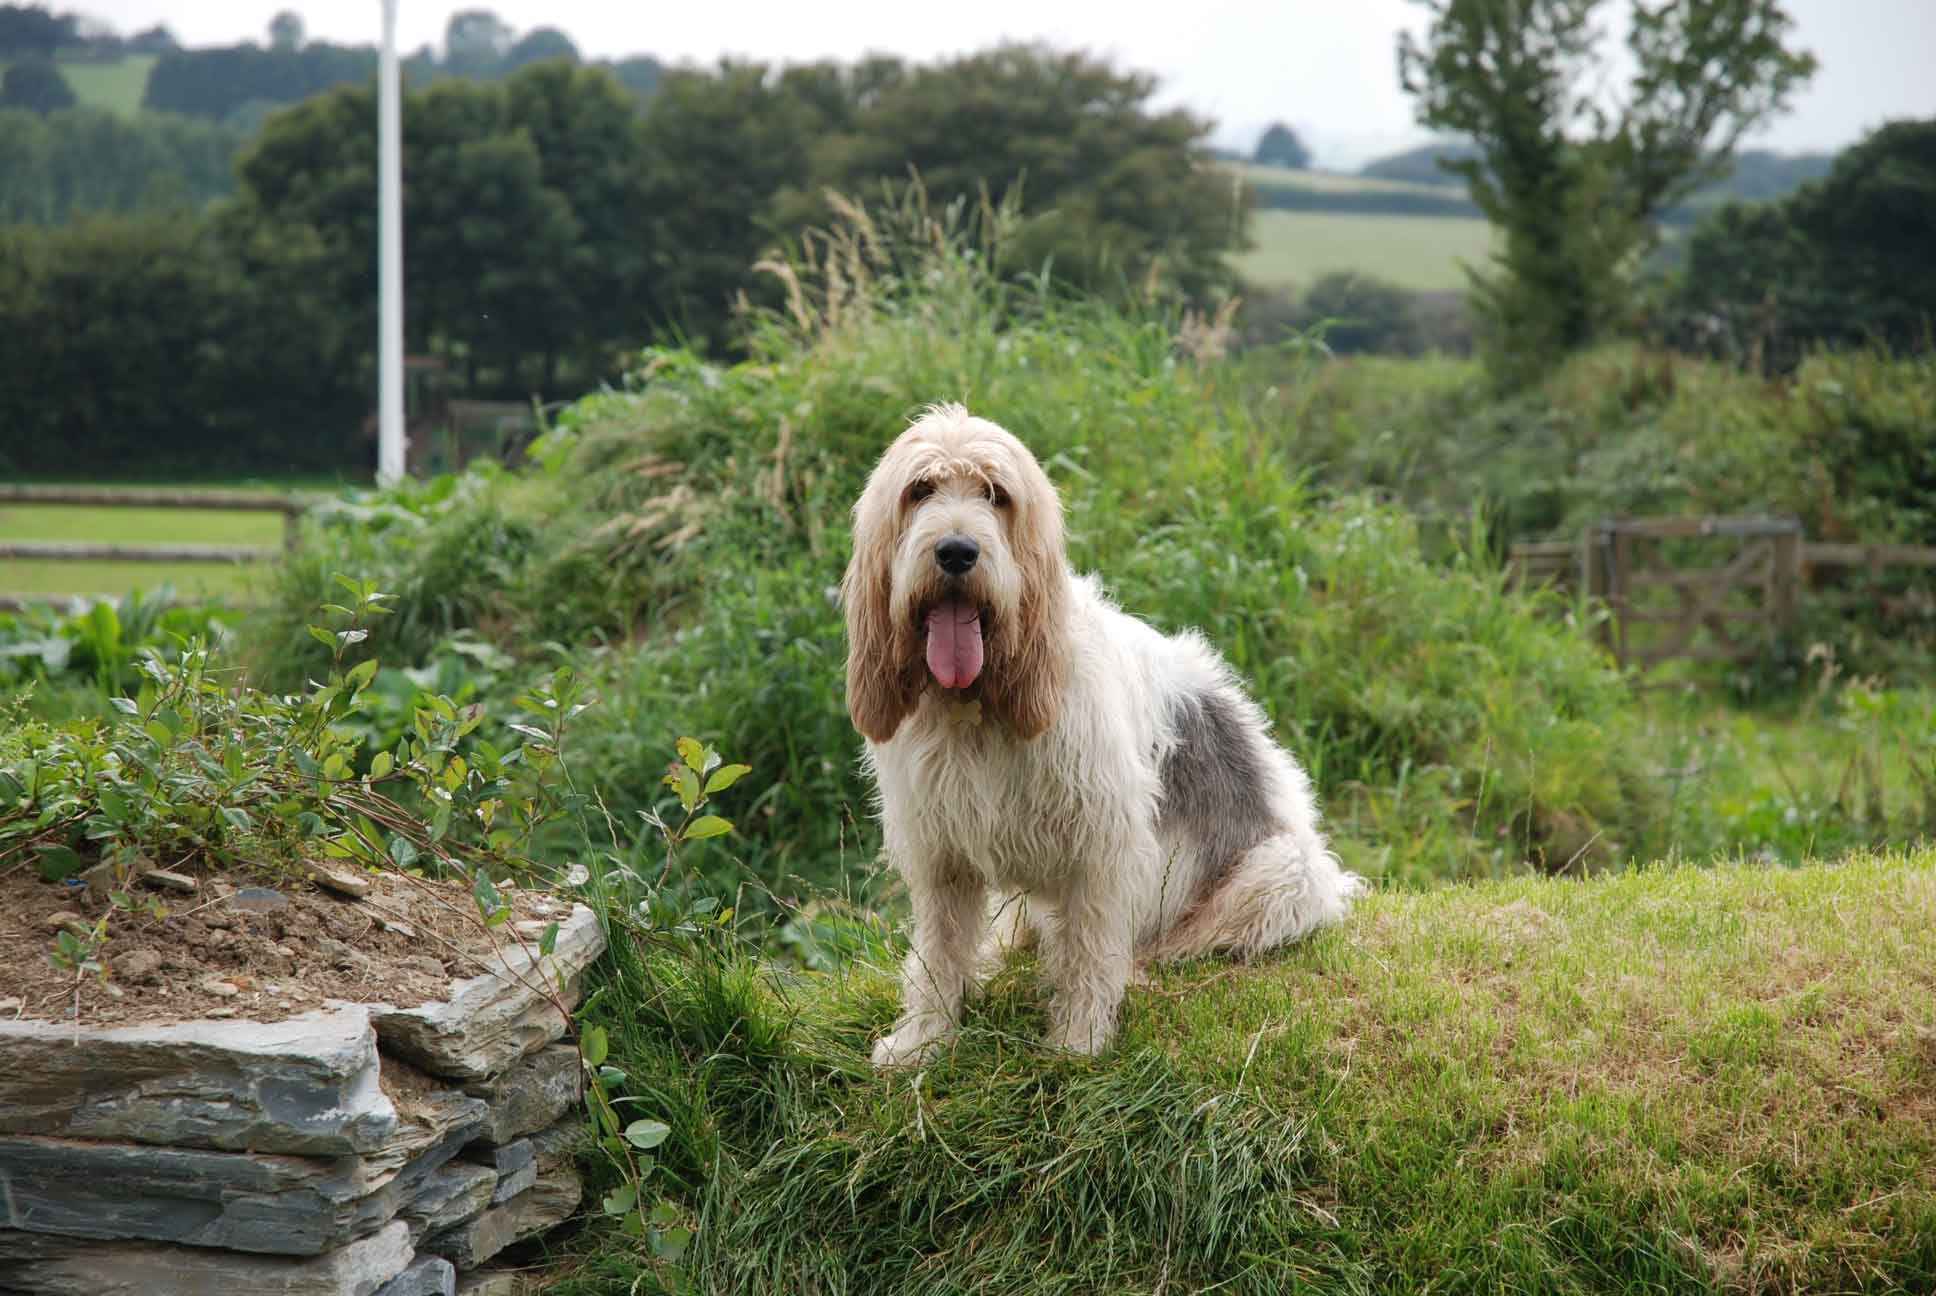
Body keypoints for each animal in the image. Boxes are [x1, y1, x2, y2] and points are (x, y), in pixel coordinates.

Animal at [844, 401, 1362, 1061]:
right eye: (920, 490)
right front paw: (922, 1039)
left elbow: (1089, 948)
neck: (982, 705)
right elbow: (939, 949)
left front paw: (1078, 1040)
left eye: (996, 495)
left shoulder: (1102, 845)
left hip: (1282, 872)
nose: (957, 551)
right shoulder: (942, 849)